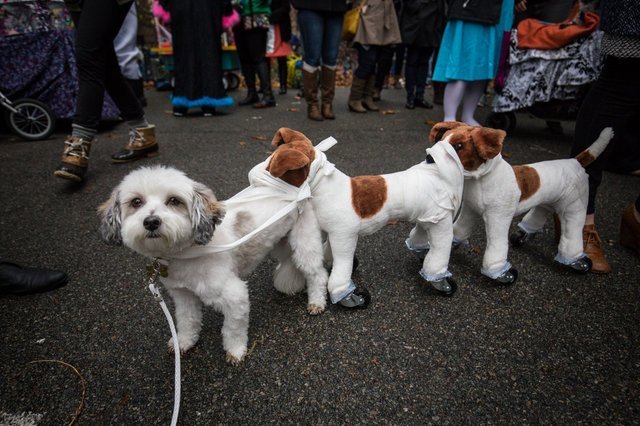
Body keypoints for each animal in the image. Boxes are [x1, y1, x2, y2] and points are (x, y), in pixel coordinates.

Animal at [100, 134, 330, 366]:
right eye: (136, 202)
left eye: (174, 201)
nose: (151, 222)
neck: (188, 252)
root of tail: (296, 186)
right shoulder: (183, 295)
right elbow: (187, 321)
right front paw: (184, 342)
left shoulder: (235, 296)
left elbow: (233, 330)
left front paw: (235, 352)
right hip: (280, 241)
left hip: (305, 241)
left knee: (317, 273)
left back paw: (316, 302)